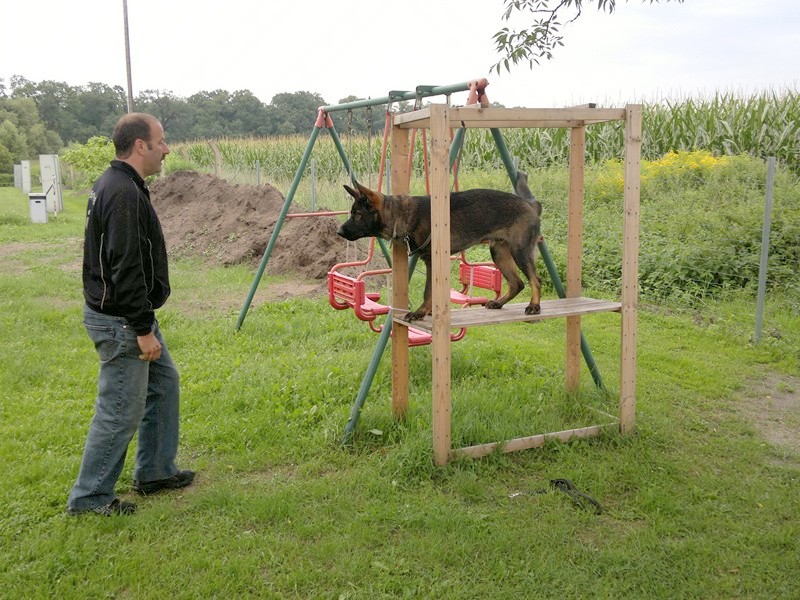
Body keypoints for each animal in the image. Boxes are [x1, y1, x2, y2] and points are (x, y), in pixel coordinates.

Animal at [338, 172, 544, 322]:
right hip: (499, 253)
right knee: (517, 283)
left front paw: (420, 312)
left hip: (520, 252)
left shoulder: (431, 261)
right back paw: (499, 303)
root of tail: (531, 205)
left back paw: (534, 306)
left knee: (535, 280)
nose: (339, 231)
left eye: (357, 214)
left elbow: (428, 291)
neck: (402, 214)